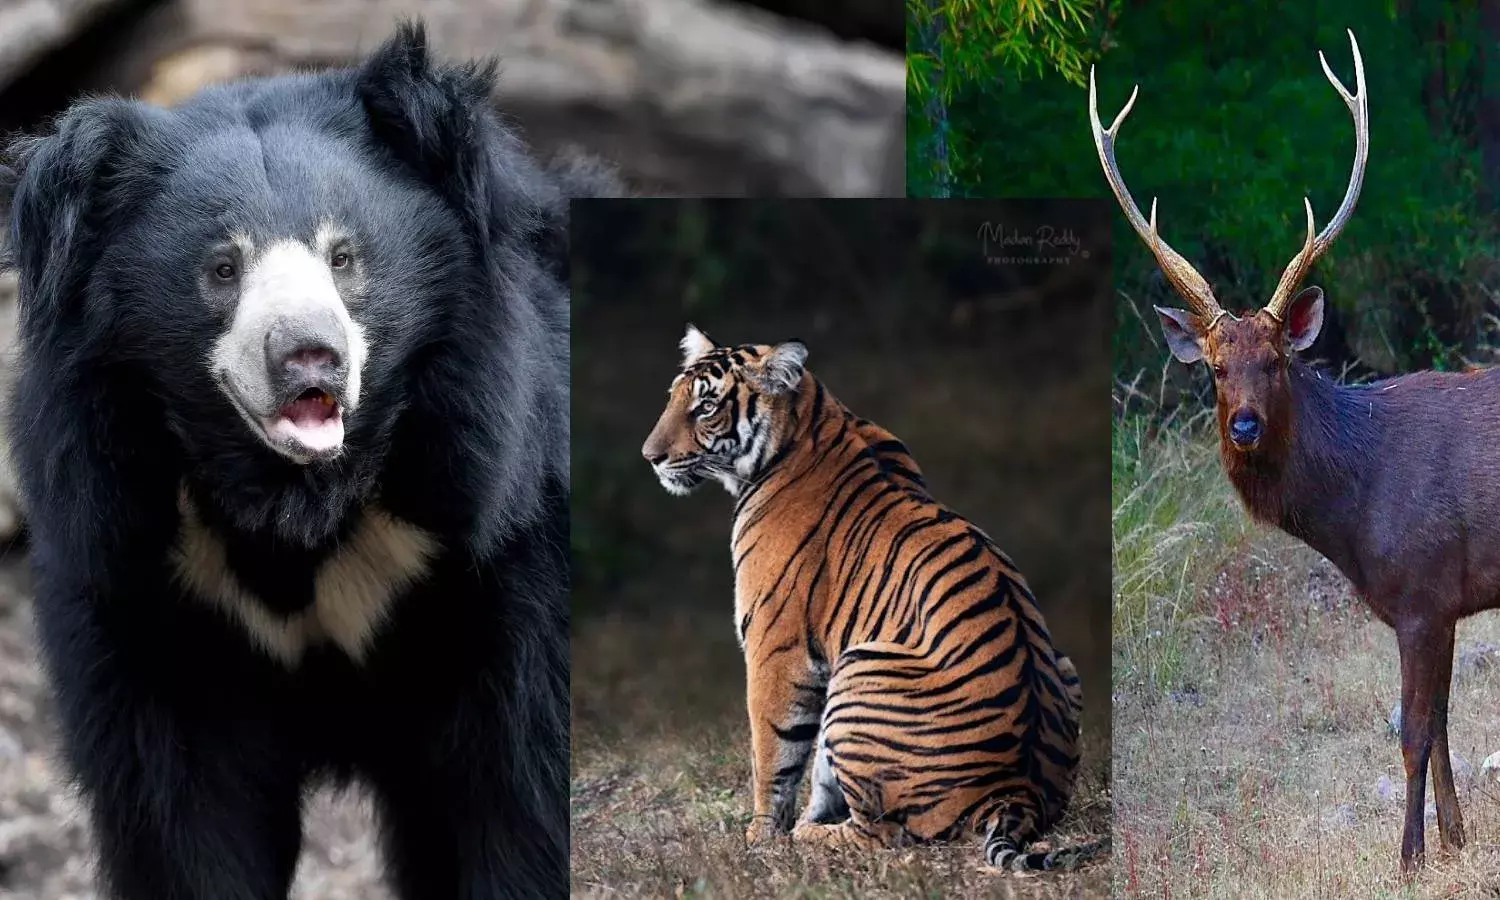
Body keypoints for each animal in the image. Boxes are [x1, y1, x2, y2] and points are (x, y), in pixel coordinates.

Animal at [640, 324, 1107, 871]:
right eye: (673, 398)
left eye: (706, 406)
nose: (650, 457)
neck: (811, 420)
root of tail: (1018, 790)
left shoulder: (776, 650)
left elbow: (772, 753)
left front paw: (761, 836)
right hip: (1059, 666)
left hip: (859, 670)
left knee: (881, 834)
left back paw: (805, 836)